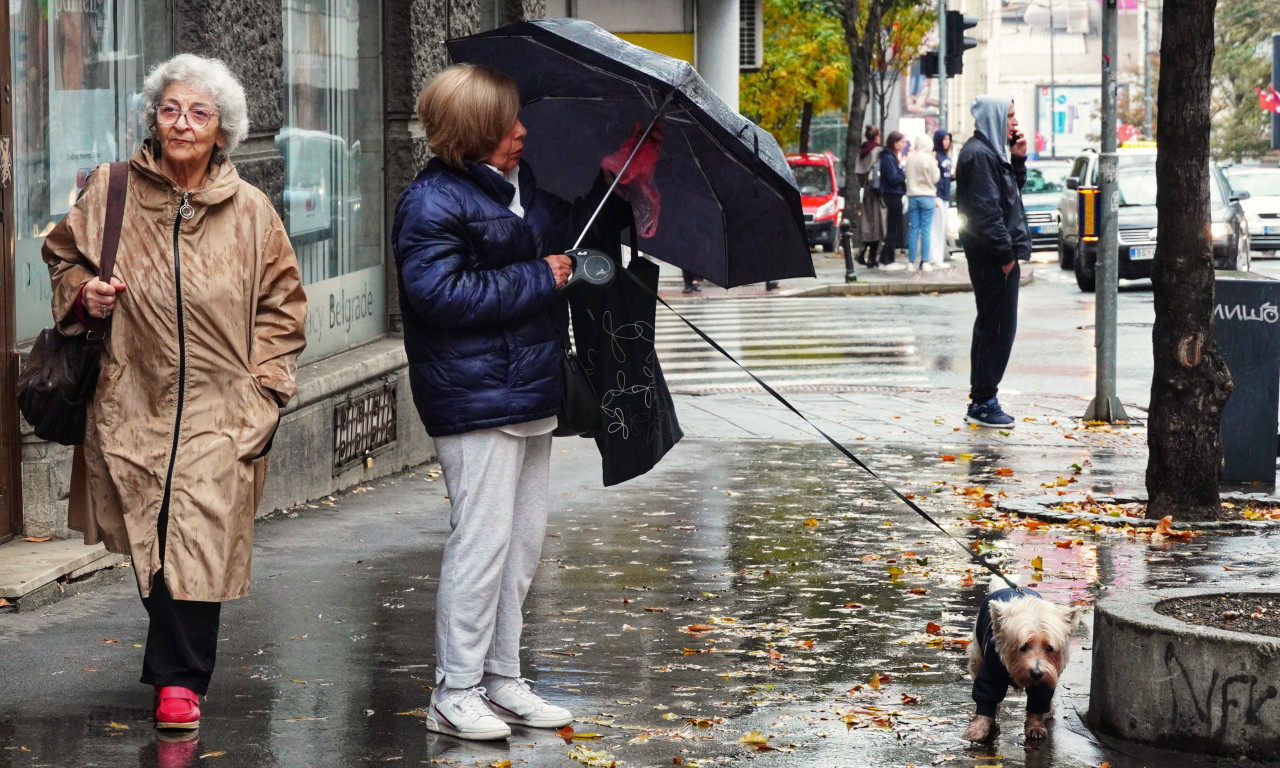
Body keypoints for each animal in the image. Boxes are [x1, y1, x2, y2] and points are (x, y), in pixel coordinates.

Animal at [962, 586, 1080, 742]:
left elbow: (1038, 701)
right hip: (977, 655)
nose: (1036, 673)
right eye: (1023, 646)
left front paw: (1035, 726)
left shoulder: (1045, 679)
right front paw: (977, 728)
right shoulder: (991, 673)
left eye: (1050, 648)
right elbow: (986, 695)